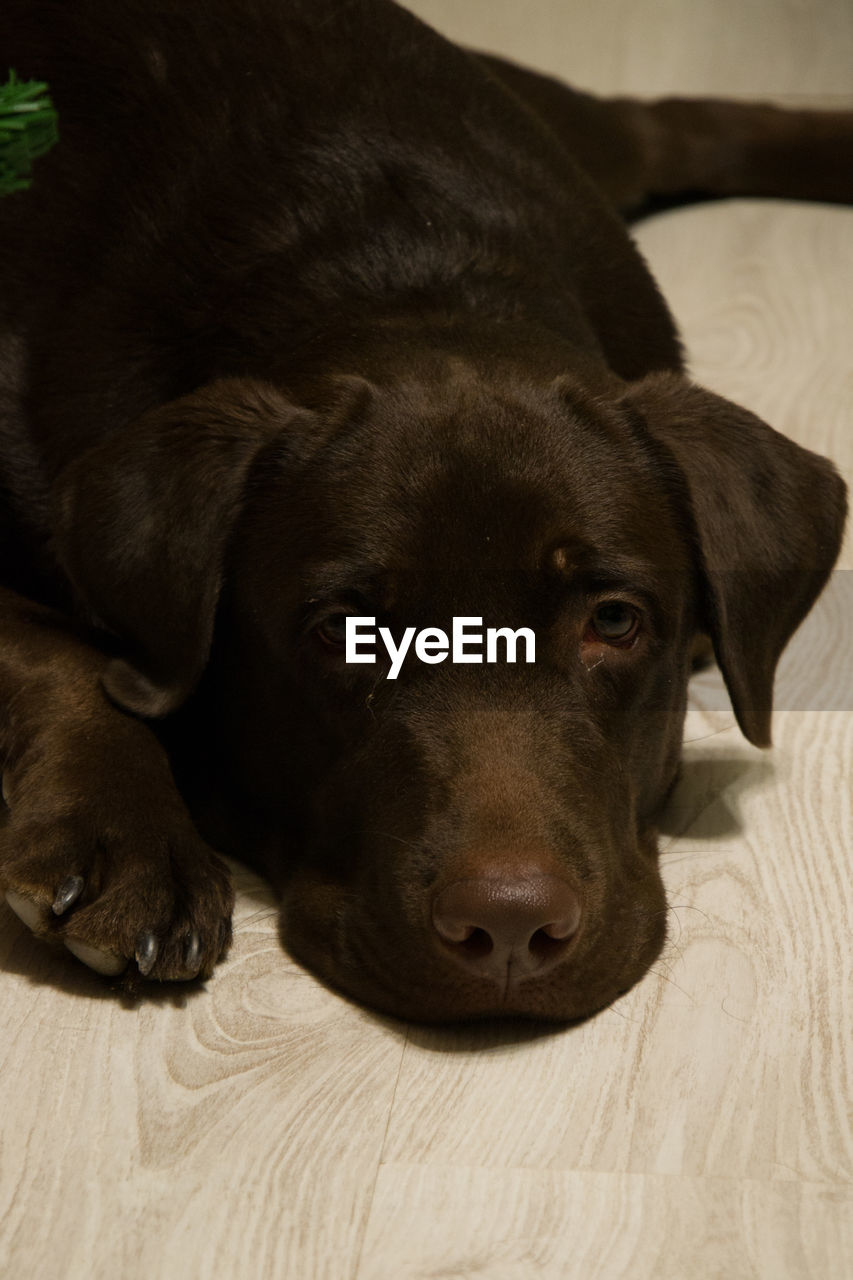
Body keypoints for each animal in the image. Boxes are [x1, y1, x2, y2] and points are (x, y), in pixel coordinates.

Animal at [0, 0, 845, 1018]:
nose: (511, 929)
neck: (403, 277)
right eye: (345, 631)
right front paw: (121, 835)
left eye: (613, 621)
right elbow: (55, 651)